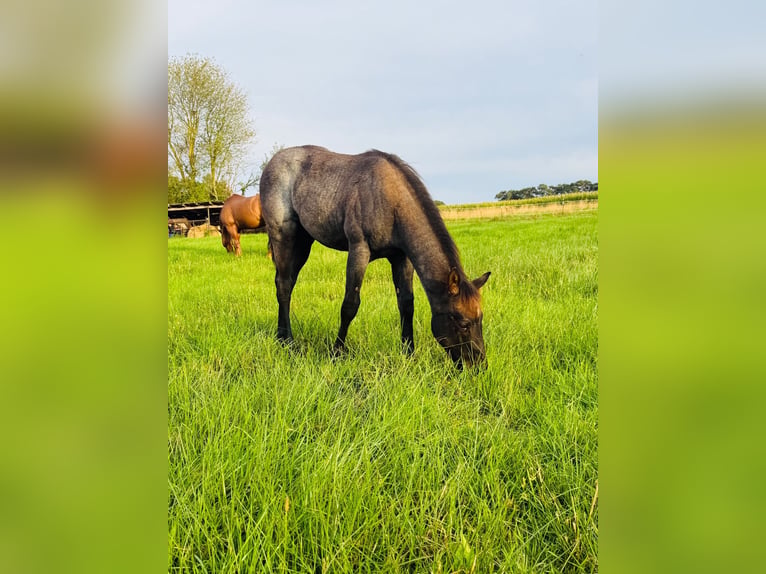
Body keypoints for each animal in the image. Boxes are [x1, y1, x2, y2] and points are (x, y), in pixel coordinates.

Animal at [260, 145, 491, 369]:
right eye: (463, 323)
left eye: (480, 318)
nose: (478, 366)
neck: (392, 201)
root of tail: (273, 162)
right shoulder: (359, 250)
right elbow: (350, 305)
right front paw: (336, 353)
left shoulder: (401, 258)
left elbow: (406, 304)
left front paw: (409, 354)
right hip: (284, 236)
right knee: (284, 285)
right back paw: (288, 341)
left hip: (303, 241)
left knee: (286, 282)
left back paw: (281, 336)